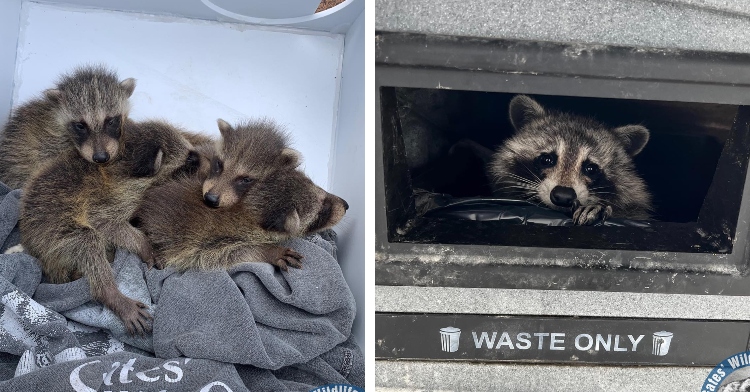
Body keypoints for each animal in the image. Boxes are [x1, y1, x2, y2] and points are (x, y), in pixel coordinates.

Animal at [21, 118, 200, 334]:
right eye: (188, 160)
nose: (202, 158)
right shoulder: (112, 196)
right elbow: (103, 222)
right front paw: (144, 244)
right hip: (53, 236)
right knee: (87, 240)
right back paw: (111, 293)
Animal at [132, 119, 350, 272]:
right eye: (321, 213)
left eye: (317, 186)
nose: (346, 204)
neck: (249, 207)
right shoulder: (210, 241)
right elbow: (225, 255)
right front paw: (268, 252)